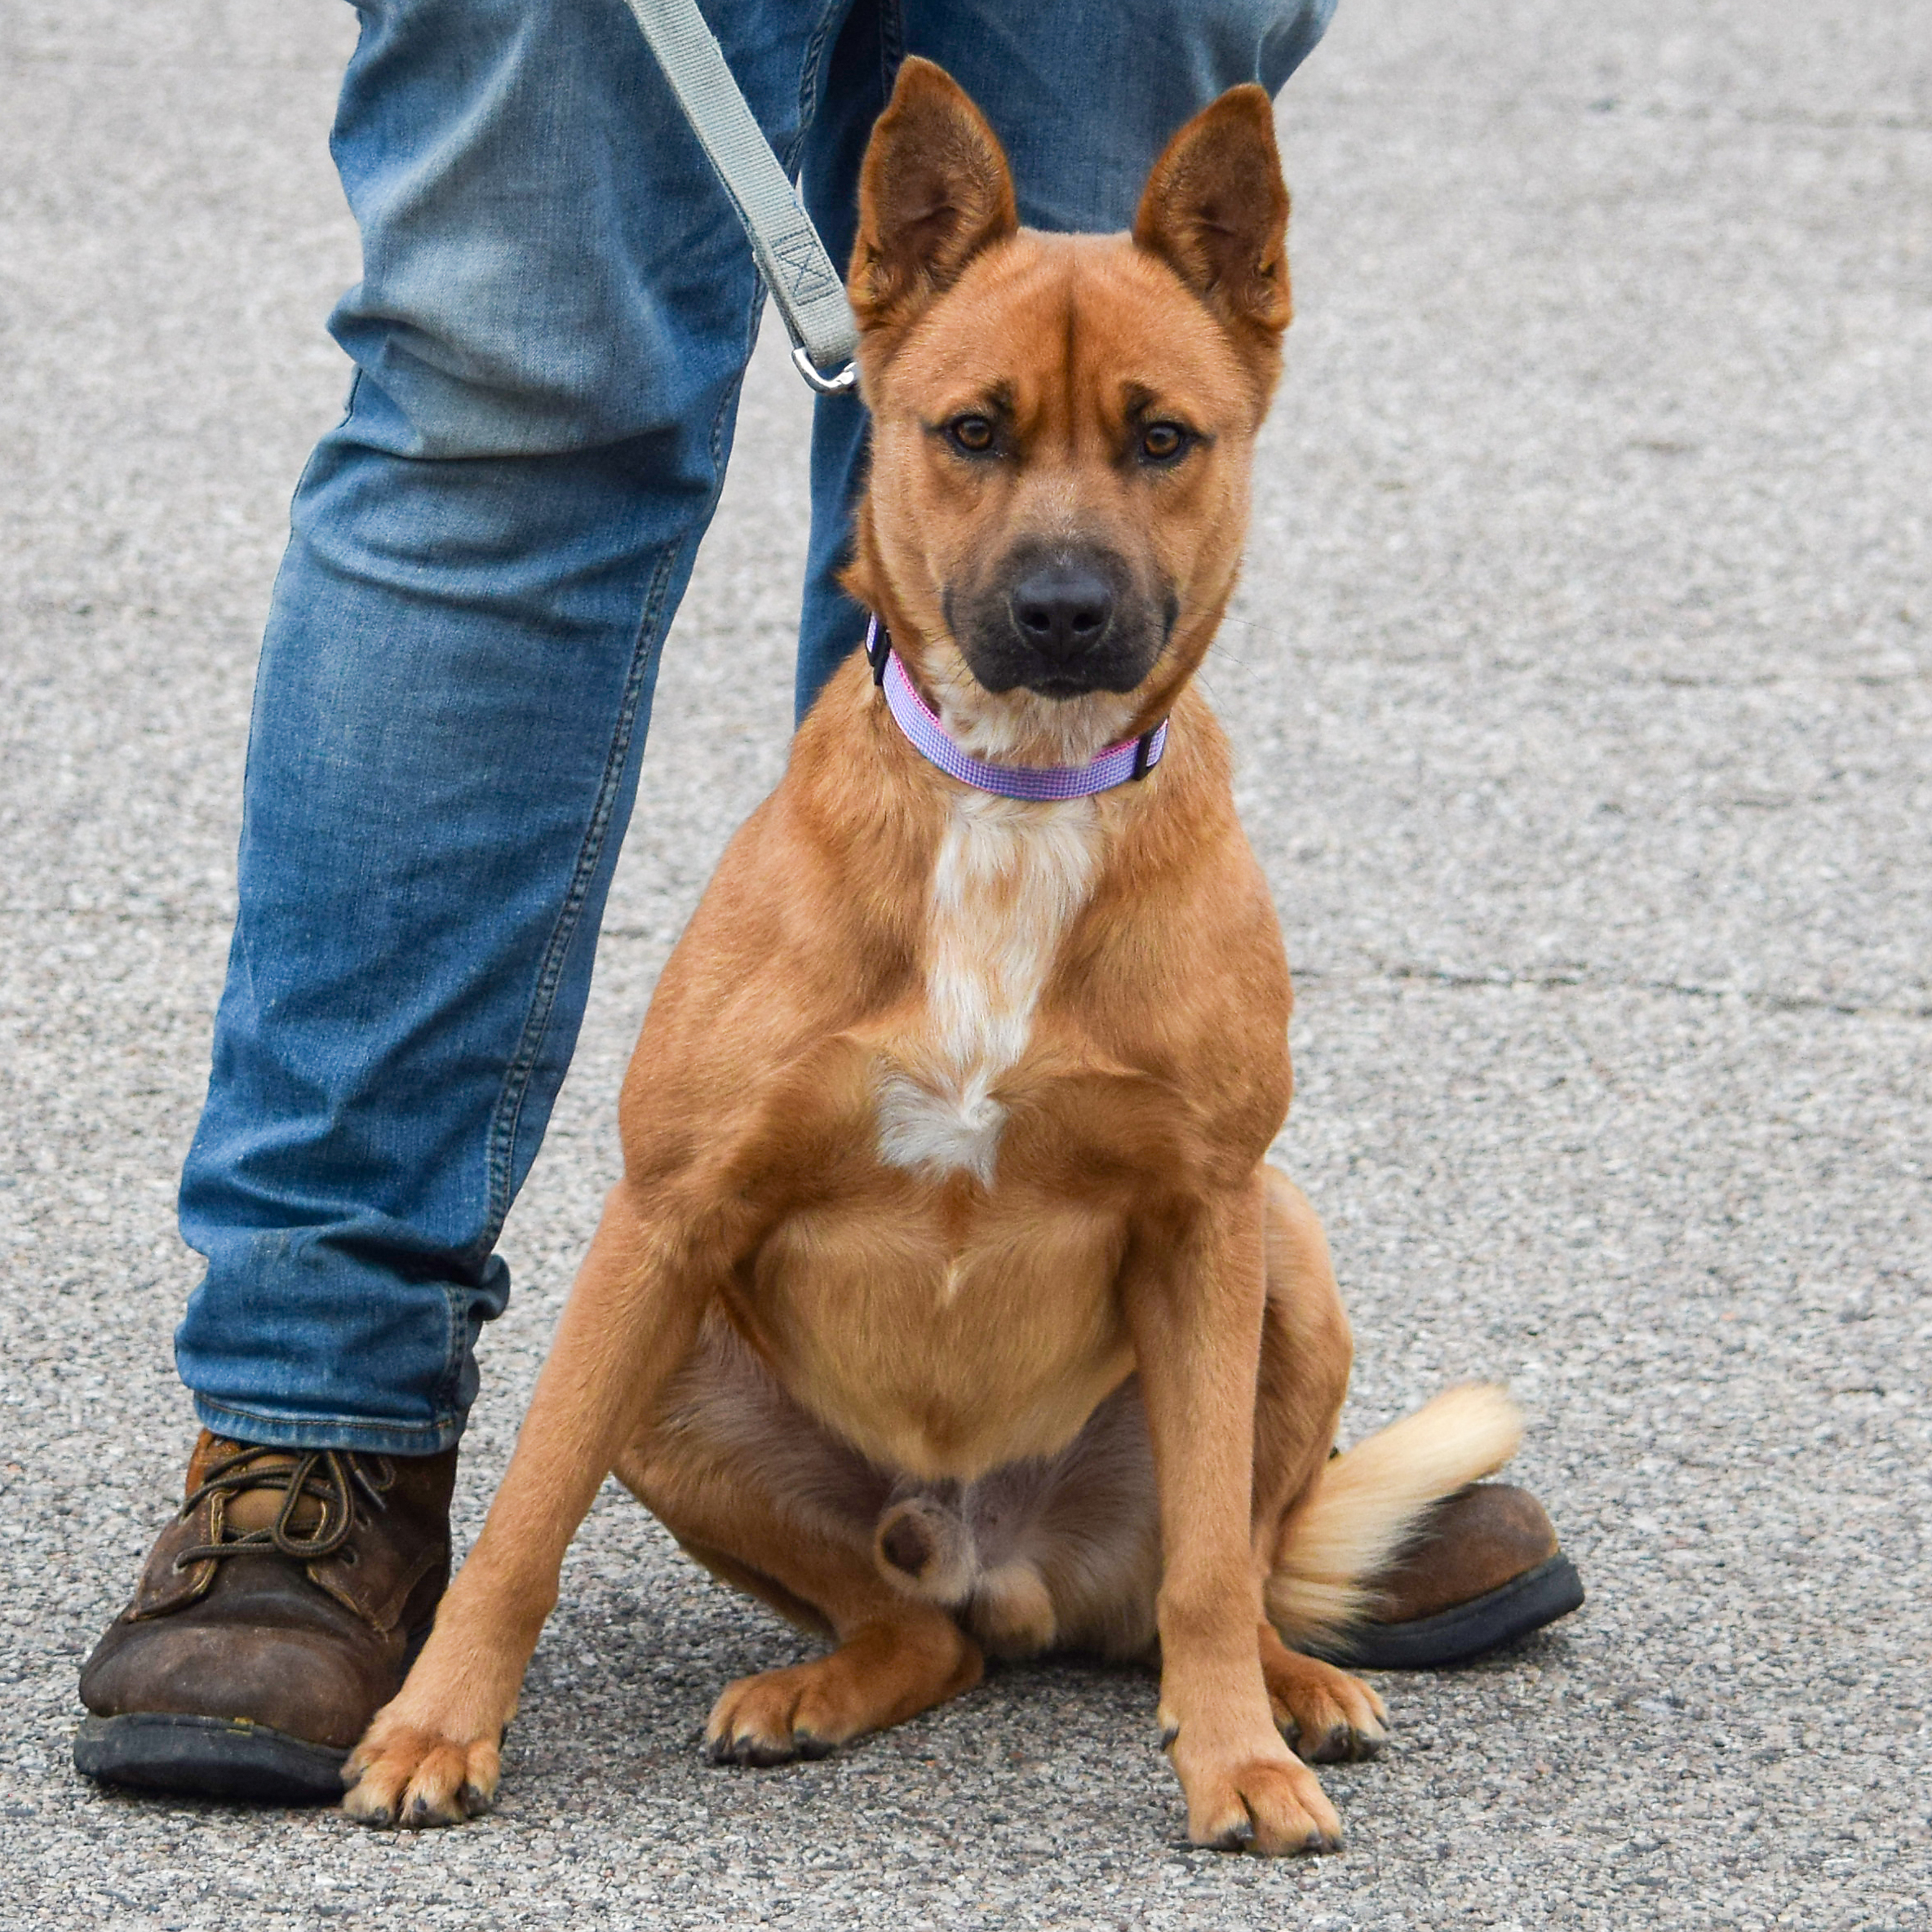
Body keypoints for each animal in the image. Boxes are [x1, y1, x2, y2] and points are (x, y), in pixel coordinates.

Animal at [343, 56, 1522, 1854]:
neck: (1012, 798)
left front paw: (1235, 1758)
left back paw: (1277, 1687)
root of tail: (1008, 1560)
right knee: (919, 1633)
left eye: (1161, 438)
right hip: (680, 1371)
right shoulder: (661, 1219)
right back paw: (822, 1687)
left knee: (1221, 1567)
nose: (1060, 610)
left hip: (1282, 1260)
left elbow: (1204, 1561)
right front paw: (435, 1725)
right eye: (970, 430)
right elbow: (520, 1524)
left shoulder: (1203, 1213)